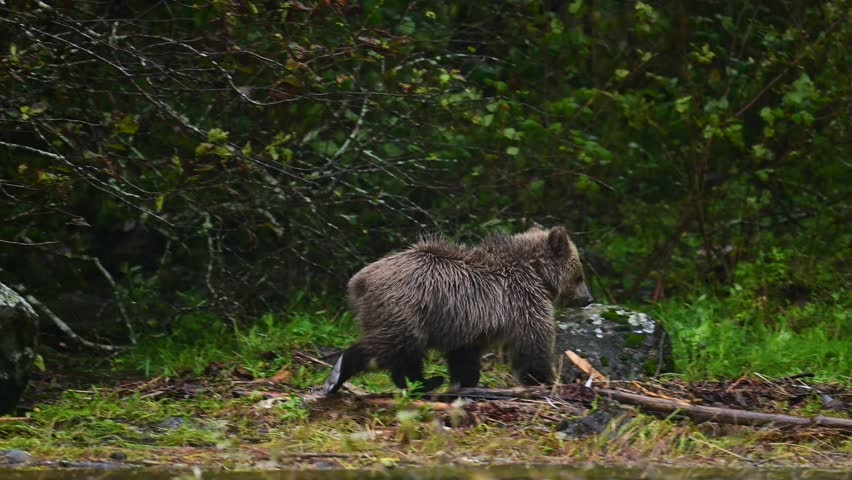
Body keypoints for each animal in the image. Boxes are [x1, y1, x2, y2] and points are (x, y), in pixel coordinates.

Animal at [322, 226, 594, 395]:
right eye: (580, 276)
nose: (588, 298)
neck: (536, 273)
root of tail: (359, 281)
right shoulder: (524, 302)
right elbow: (534, 345)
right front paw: (546, 380)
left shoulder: (470, 324)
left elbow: (464, 357)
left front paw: (464, 381)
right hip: (406, 309)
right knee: (392, 346)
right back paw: (339, 374)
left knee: (405, 355)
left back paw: (423, 383)